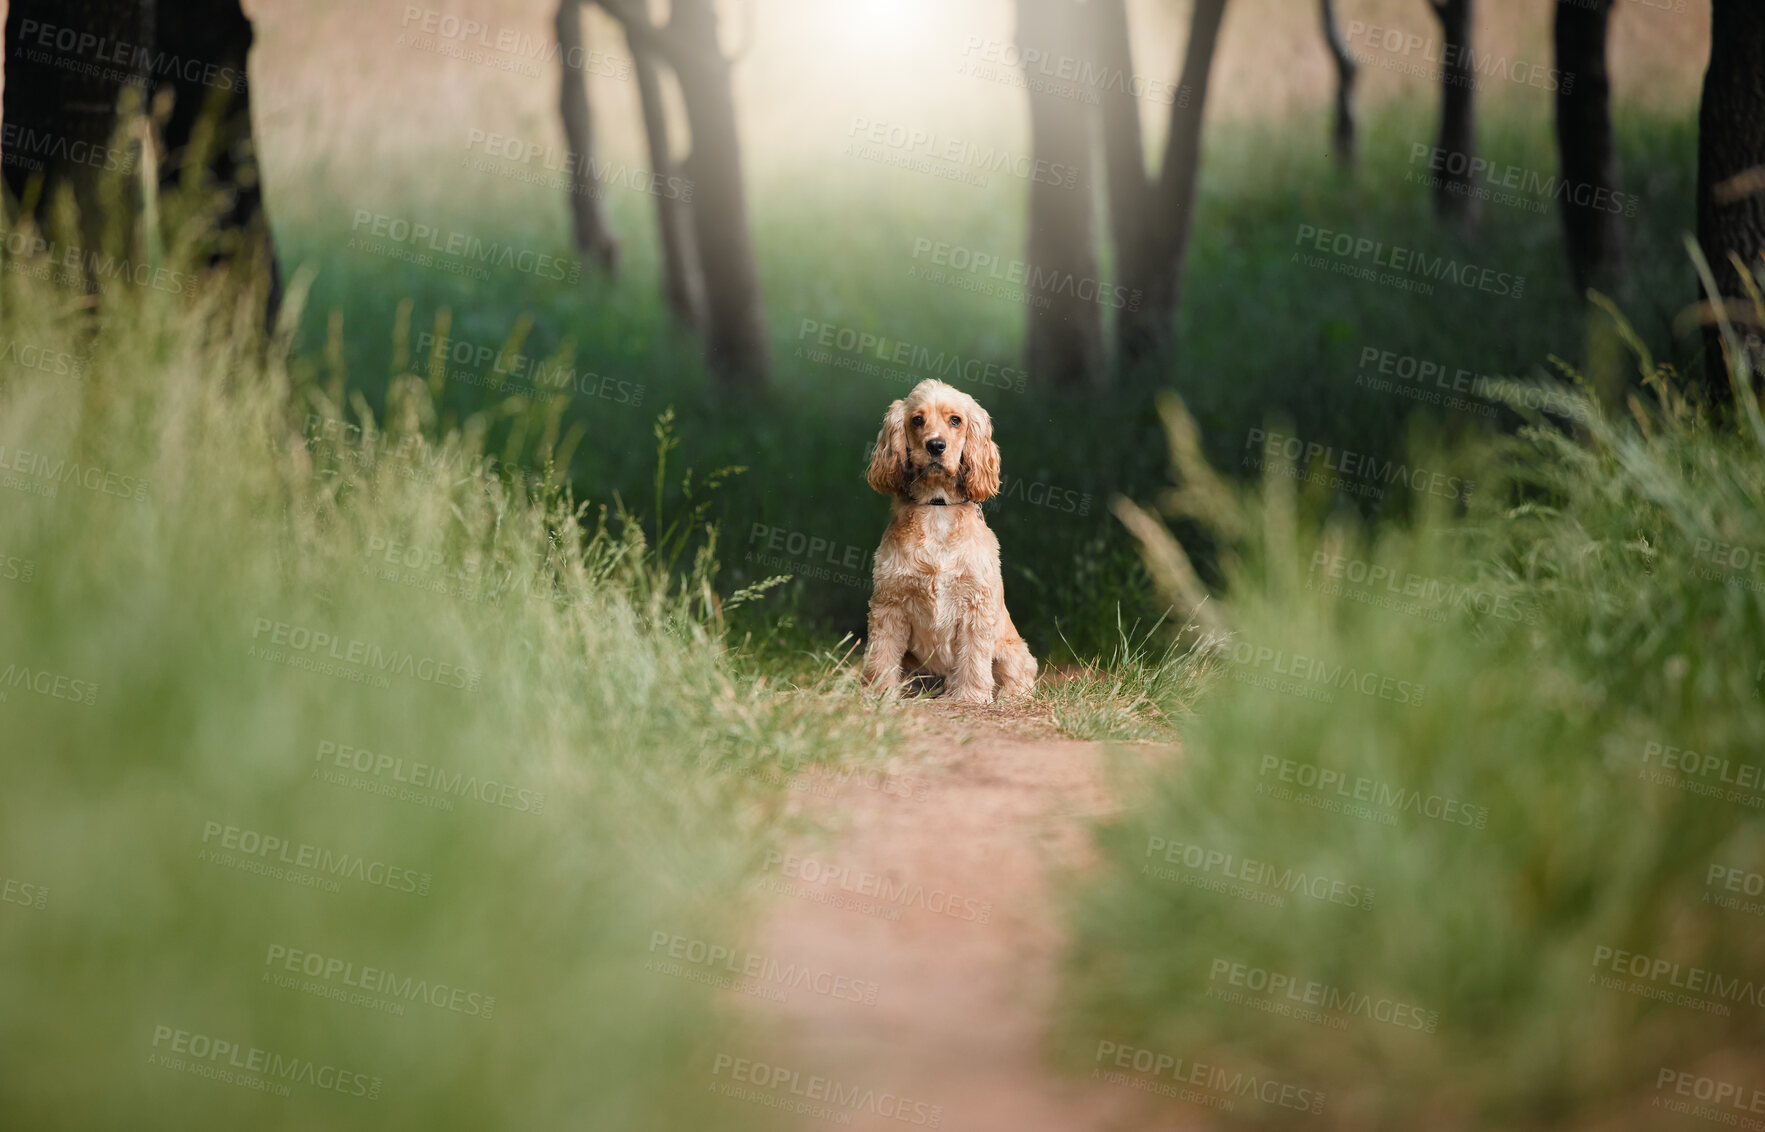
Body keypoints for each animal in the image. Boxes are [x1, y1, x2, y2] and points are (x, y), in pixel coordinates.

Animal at [864, 379, 1037, 699]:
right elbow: (882, 653)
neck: (937, 507)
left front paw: (971, 695)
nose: (935, 445)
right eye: (917, 420)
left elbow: (973, 656)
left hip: (1013, 652)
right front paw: (880, 692)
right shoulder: (890, 602)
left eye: (955, 420)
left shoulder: (975, 605)